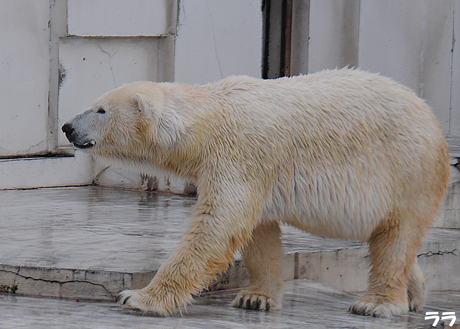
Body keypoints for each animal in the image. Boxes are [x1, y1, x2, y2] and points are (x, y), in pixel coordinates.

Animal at [61, 68, 450, 316]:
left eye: (101, 109)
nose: (67, 127)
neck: (207, 121)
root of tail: (432, 118)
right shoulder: (252, 170)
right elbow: (258, 231)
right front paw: (256, 299)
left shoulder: (240, 154)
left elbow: (218, 226)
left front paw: (138, 297)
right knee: (389, 238)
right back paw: (414, 294)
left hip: (406, 171)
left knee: (397, 236)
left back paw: (376, 304)